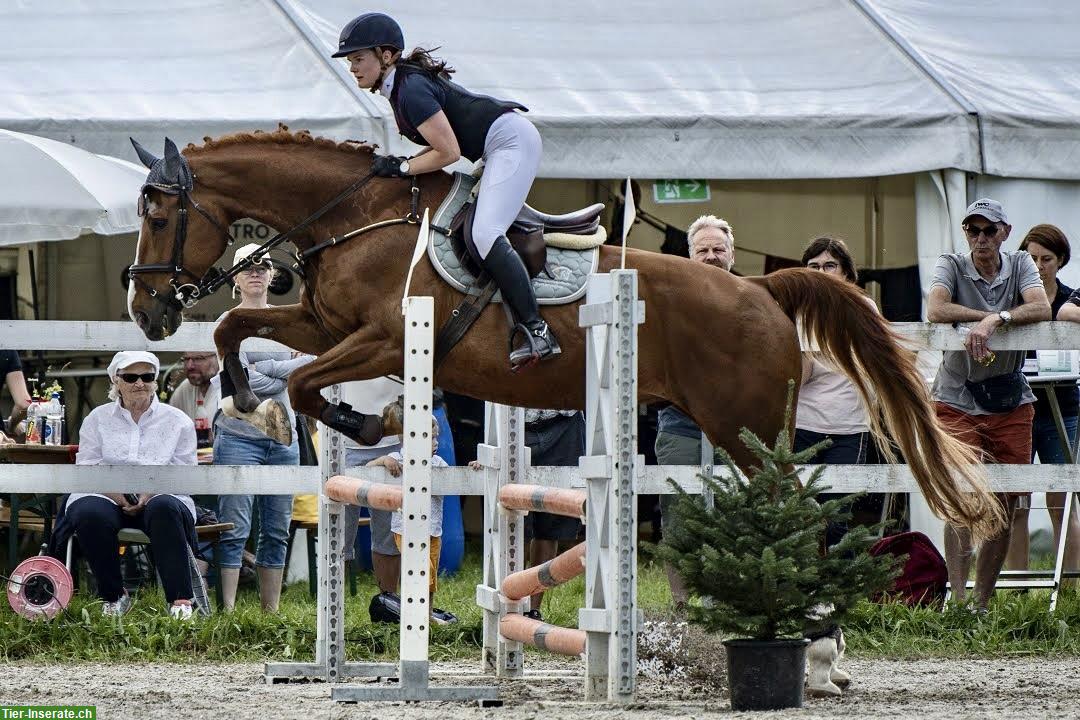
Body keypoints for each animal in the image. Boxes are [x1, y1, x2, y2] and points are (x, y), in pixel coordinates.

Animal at [126, 129, 1002, 537]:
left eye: (160, 216)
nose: (146, 311)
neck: (356, 218)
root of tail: (758, 287)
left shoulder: (385, 338)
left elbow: (310, 383)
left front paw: (369, 421)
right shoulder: (321, 321)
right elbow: (241, 324)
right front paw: (243, 394)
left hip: (749, 430)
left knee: (796, 511)